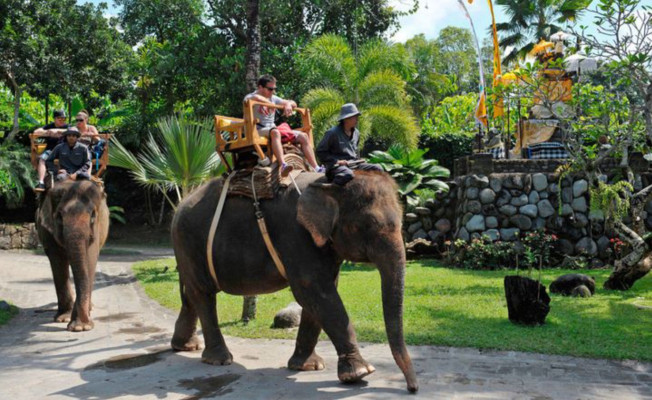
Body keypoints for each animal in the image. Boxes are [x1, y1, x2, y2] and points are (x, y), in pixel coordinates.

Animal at [36, 180, 109, 331]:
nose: (86, 322)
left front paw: (81, 327)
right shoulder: (48, 231)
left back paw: (90, 308)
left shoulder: (97, 228)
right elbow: (57, 260)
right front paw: (65, 320)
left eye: (93, 216)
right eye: (59, 217)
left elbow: (89, 258)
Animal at [170, 170, 418, 392]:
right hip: (189, 240)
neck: (327, 183)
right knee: (203, 293)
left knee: (190, 293)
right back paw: (219, 360)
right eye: (366, 226)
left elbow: (320, 295)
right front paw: (360, 373)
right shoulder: (295, 234)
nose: (412, 388)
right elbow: (313, 290)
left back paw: (185, 346)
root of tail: (182, 203)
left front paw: (309, 367)